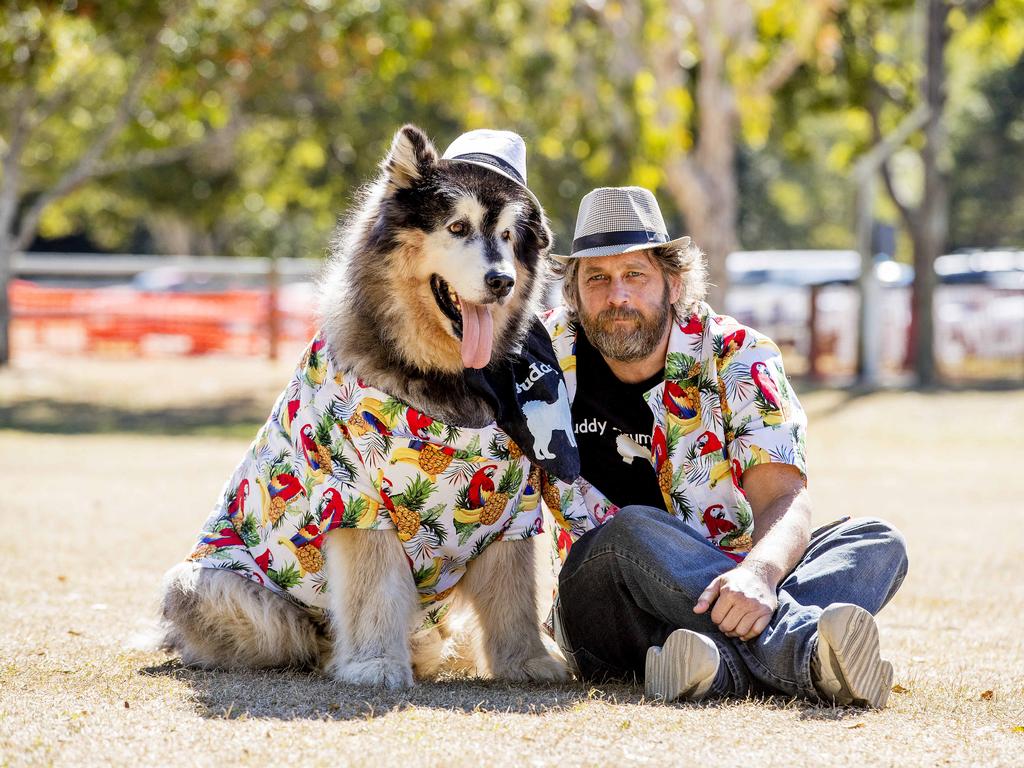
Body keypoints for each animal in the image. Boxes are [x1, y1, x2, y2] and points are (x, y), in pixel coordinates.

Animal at [163, 126, 573, 692]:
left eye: (511, 237)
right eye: (458, 227)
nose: (501, 281)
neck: (442, 377)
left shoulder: (515, 508)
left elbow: (514, 597)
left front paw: (527, 661)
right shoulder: (358, 503)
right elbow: (376, 591)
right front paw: (376, 665)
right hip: (216, 590)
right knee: (295, 635)